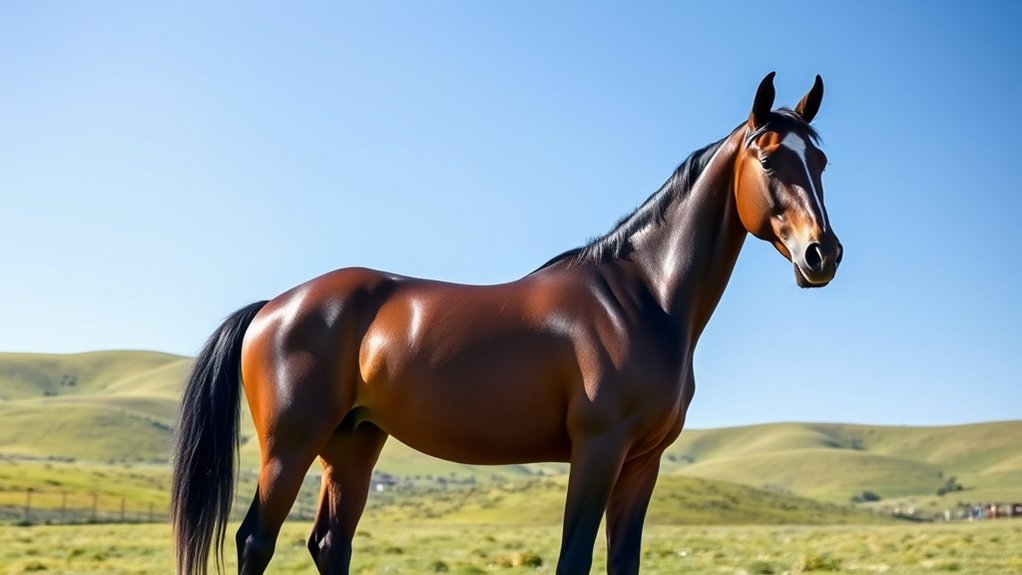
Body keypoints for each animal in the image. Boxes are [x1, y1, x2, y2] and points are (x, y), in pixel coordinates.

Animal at [171, 72, 842, 575]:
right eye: (768, 158)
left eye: (821, 160)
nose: (823, 255)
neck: (643, 297)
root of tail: (274, 306)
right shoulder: (597, 451)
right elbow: (573, 560)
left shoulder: (642, 463)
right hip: (291, 445)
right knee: (256, 541)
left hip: (353, 443)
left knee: (330, 543)